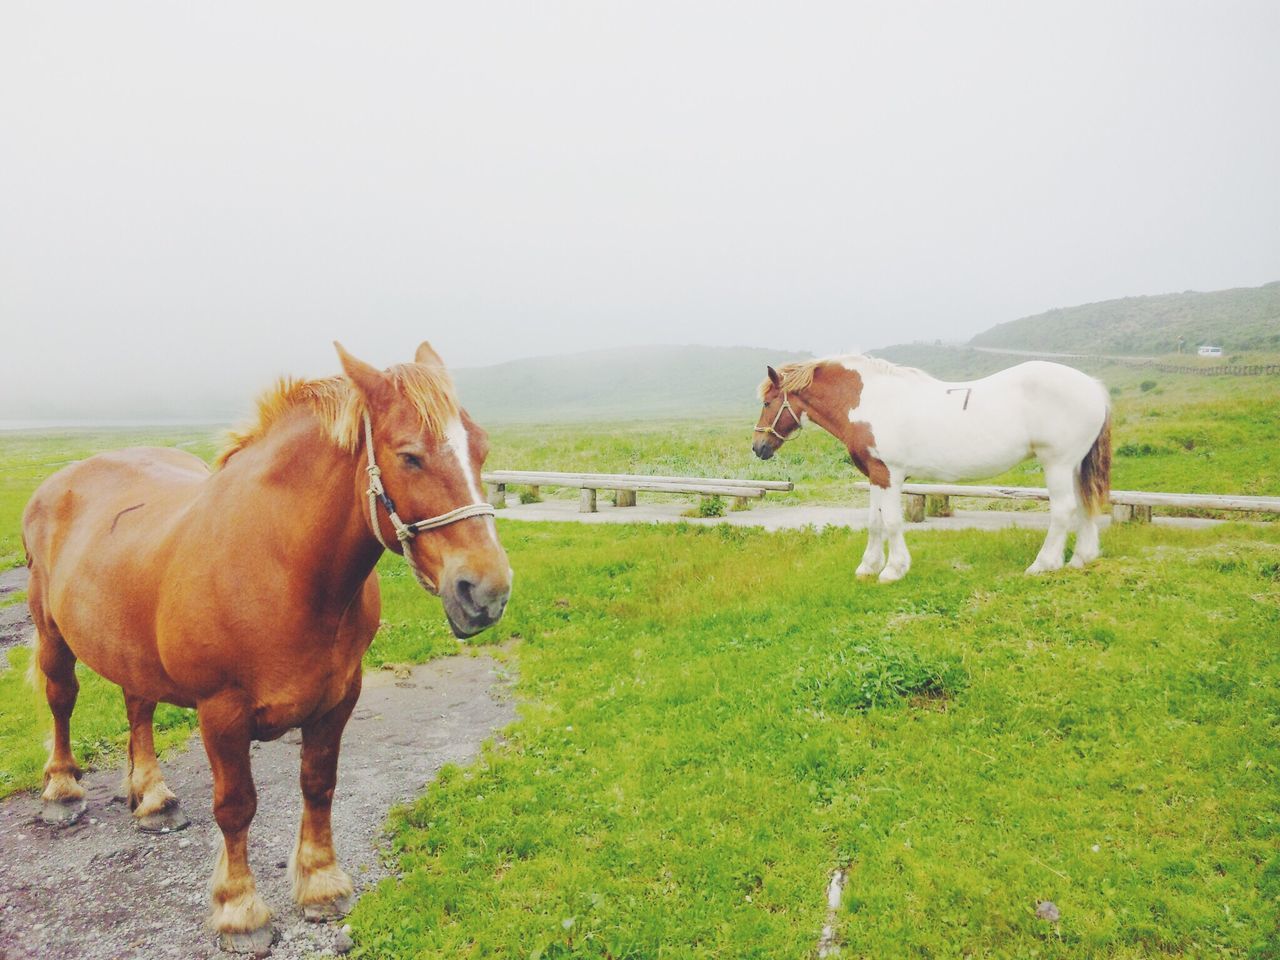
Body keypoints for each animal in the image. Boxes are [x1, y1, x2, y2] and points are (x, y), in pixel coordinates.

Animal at [20, 343, 509, 957]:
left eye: (481, 447)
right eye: (410, 457)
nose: (486, 591)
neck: (278, 563)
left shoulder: (338, 697)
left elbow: (319, 785)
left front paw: (322, 884)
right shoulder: (221, 710)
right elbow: (236, 807)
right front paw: (240, 910)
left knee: (139, 707)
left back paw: (152, 797)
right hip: (51, 633)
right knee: (62, 698)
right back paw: (62, 790)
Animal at [747, 358, 1111, 583]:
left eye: (767, 402)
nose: (758, 447)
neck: (870, 401)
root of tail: (1093, 386)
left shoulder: (889, 475)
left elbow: (892, 523)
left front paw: (893, 570)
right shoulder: (876, 476)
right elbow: (874, 523)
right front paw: (867, 567)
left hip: (1057, 463)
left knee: (1063, 510)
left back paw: (1043, 564)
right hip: (1074, 465)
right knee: (1084, 506)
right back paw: (1080, 559)